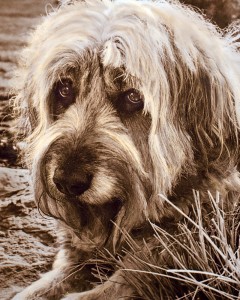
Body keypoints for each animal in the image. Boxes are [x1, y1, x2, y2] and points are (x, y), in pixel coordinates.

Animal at [12, 0, 240, 300]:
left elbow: (119, 283)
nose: (67, 182)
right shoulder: (79, 256)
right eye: (64, 89)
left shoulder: (167, 259)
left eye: (133, 97)